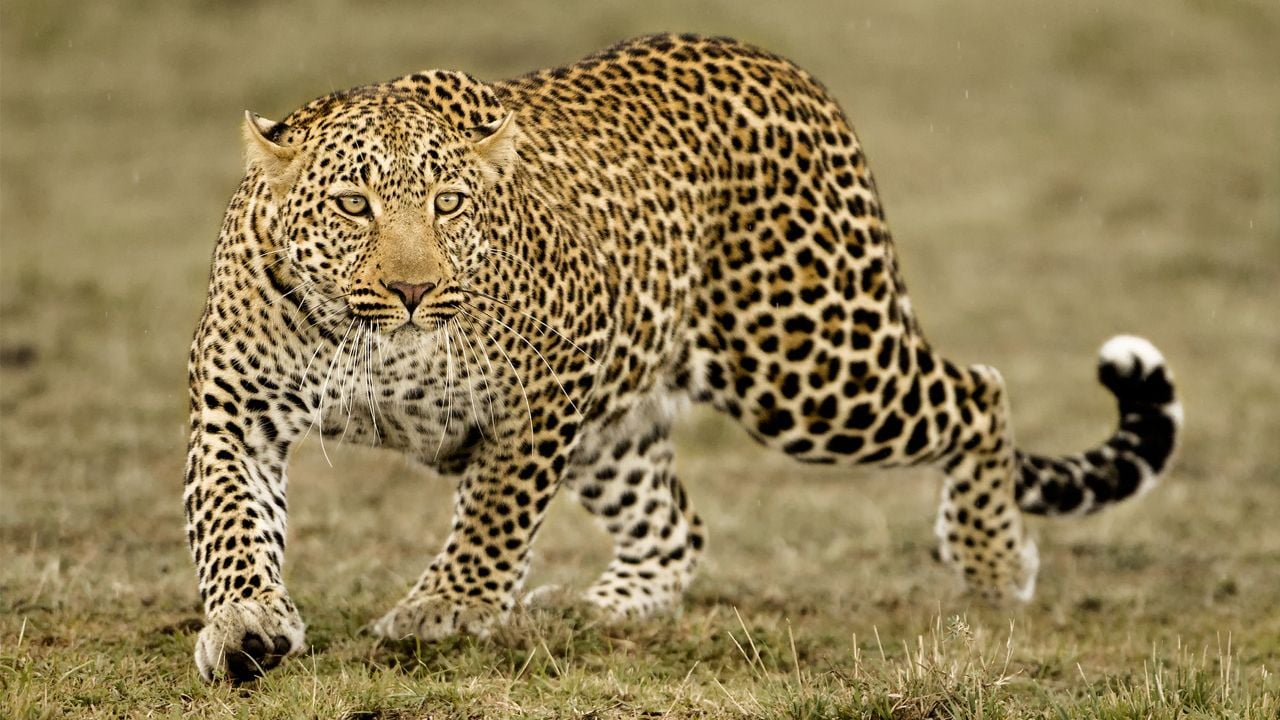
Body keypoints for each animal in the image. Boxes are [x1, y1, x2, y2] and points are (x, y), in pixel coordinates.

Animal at [185, 33, 1182, 682]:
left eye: (451, 204)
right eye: (353, 205)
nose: (413, 291)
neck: (373, 344)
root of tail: (782, 66)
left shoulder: (551, 381)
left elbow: (496, 512)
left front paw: (449, 608)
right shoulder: (235, 409)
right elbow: (232, 525)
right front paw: (245, 626)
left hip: (812, 364)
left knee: (979, 392)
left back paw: (992, 563)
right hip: (628, 421)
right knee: (676, 525)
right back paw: (595, 608)